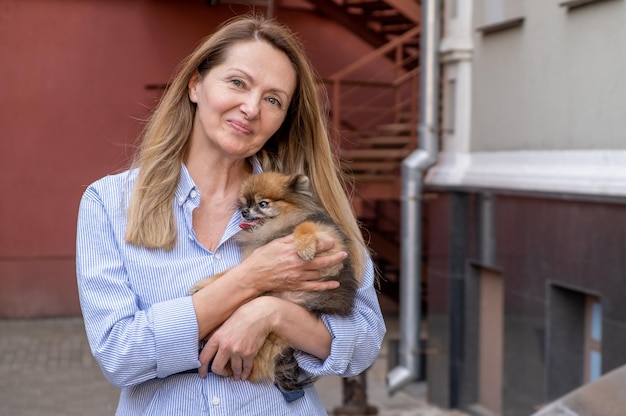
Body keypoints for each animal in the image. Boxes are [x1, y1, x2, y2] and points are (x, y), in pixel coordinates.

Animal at [188, 171, 358, 392]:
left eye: (262, 204)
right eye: (244, 203)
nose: (244, 212)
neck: (275, 229)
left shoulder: (331, 245)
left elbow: (305, 226)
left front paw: (305, 247)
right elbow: (229, 274)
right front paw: (205, 284)